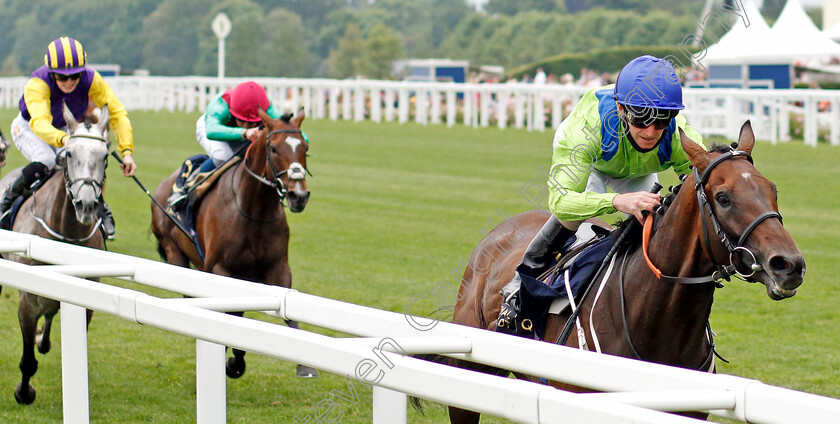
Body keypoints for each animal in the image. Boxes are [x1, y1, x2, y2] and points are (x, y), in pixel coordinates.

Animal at [0, 105, 110, 404]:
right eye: (69, 153)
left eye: (105, 157)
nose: (86, 205)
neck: (66, 233)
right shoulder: (27, 299)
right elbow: (27, 358)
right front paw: (24, 392)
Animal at [149, 108, 316, 378]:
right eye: (274, 149)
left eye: (305, 148)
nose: (298, 195)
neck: (253, 210)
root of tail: (164, 185)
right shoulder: (220, 268)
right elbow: (232, 314)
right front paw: (232, 359)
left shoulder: (277, 268)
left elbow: (288, 312)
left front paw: (305, 365)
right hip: (175, 253)